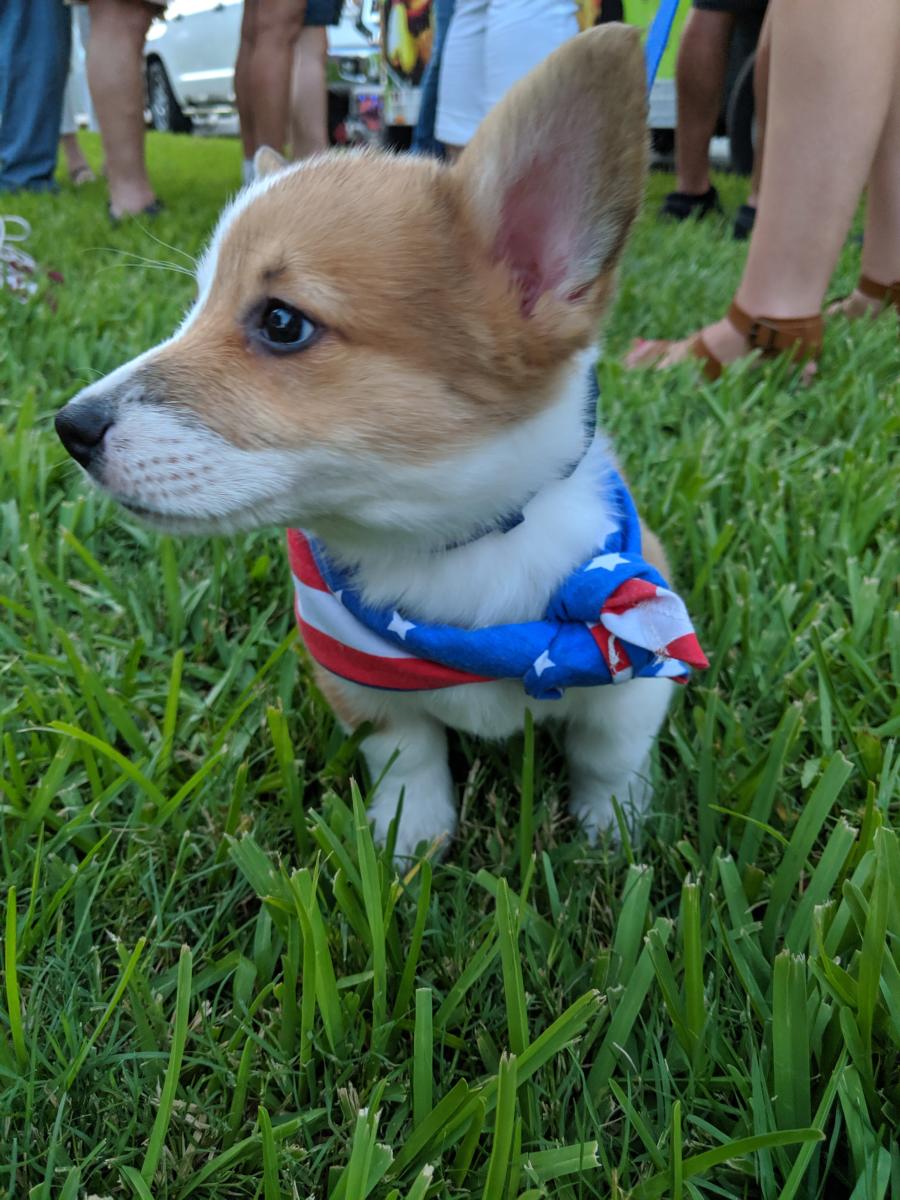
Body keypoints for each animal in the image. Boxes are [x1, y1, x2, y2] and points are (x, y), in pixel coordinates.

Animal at [54, 23, 705, 859]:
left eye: (282, 322)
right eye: (196, 307)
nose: (70, 428)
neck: (450, 547)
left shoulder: (638, 668)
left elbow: (608, 758)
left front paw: (611, 840)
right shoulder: (361, 684)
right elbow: (409, 762)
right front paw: (409, 848)